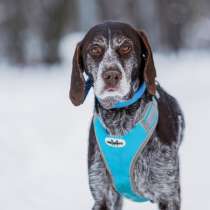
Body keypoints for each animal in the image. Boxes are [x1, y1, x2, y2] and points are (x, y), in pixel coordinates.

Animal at [68, 21, 184, 210]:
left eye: (126, 47)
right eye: (95, 49)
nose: (111, 75)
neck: (119, 118)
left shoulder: (168, 195)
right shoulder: (102, 196)